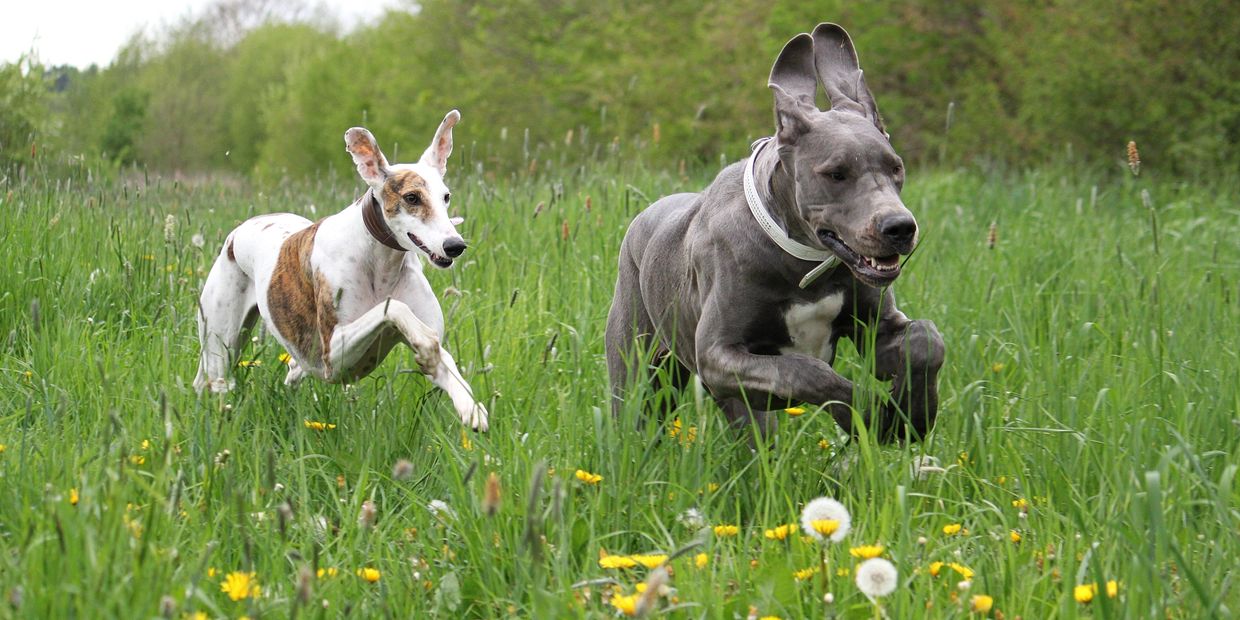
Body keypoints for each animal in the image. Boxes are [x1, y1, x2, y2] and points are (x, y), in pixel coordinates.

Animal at [193, 110, 488, 431]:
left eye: (446, 197)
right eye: (412, 198)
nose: (455, 245)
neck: (381, 263)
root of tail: (240, 230)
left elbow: (448, 369)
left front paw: (470, 407)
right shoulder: (333, 354)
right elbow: (394, 308)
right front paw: (426, 345)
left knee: (294, 368)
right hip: (220, 345)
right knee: (212, 379)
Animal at [605, 22, 942, 441]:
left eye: (896, 167)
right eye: (836, 173)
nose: (899, 227)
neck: (802, 264)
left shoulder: (877, 328)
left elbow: (926, 340)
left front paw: (911, 414)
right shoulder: (718, 355)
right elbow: (812, 374)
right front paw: (871, 417)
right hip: (639, 375)